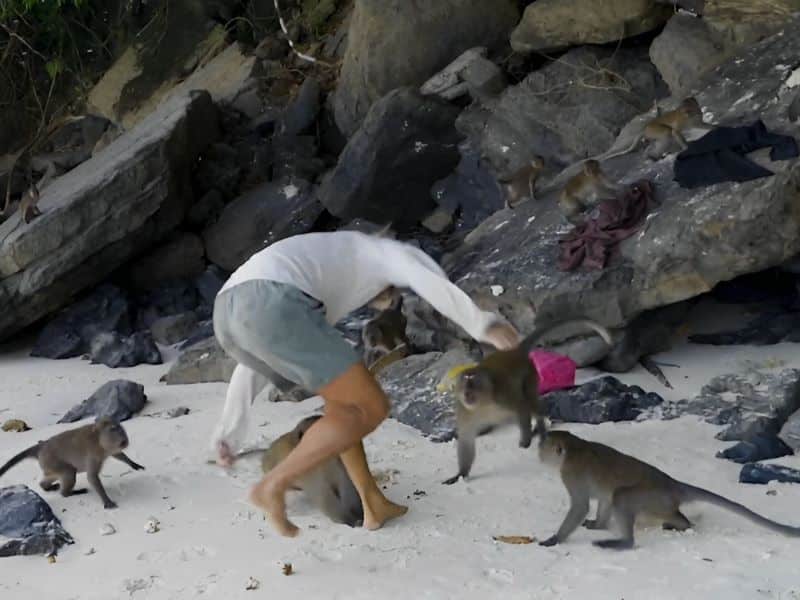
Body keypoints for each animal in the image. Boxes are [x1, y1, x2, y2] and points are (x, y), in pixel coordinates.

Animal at [0, 418, 145, 510]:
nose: (125, 440)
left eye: (121, 429)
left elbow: (118, 455)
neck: (98, 439)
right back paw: (69, 493)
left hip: (48, 465)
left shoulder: (108, 449)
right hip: (52, 461)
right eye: (113, 429)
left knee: (53, 476)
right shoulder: (93, 454)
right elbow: (92, 477)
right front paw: (106, 500)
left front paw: (133, 464)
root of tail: (41, 447)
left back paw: (45, 486)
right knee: (69, 473)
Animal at [444, 316, 612, 486]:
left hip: (530, 376)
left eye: (473, 387)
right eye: (464, 389)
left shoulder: (502, 395)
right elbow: (466, 439)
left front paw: (525, 439)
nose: (467, 395)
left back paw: (540, 427)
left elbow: (521, 406)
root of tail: (514, 353)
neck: (483, 403)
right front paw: (460, 474)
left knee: (531, 403)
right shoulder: (464, 411)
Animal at [536, 428, 800, 552]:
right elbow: (603, 498)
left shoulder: (571, 474)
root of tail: (672, 484)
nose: (538, 455)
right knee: (615, 496)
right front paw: (598, 524)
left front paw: (555, 539)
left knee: (621, 496)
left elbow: (581, 505)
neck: (572, 448)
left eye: (543, 448)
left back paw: (626, 542)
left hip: (651, 496)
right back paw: (679, 523)